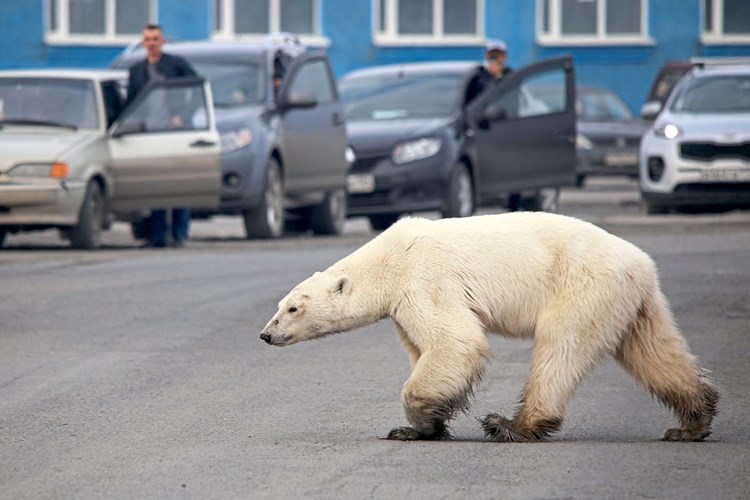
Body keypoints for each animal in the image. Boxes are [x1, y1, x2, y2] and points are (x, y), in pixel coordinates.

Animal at [262, 211, 720, 442]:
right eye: (281, 305)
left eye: (293, 308)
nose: (266, 334)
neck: (389, 258)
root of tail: (641, 264)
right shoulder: (403, 304)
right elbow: (422, 348)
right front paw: (422, 427)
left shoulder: (424, 280)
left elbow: (455, 342)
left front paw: (418, 423)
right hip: (632, 302)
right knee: (653, 351)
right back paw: (691, 423)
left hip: (582, 285)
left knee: (560, 347)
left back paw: (512, 424)